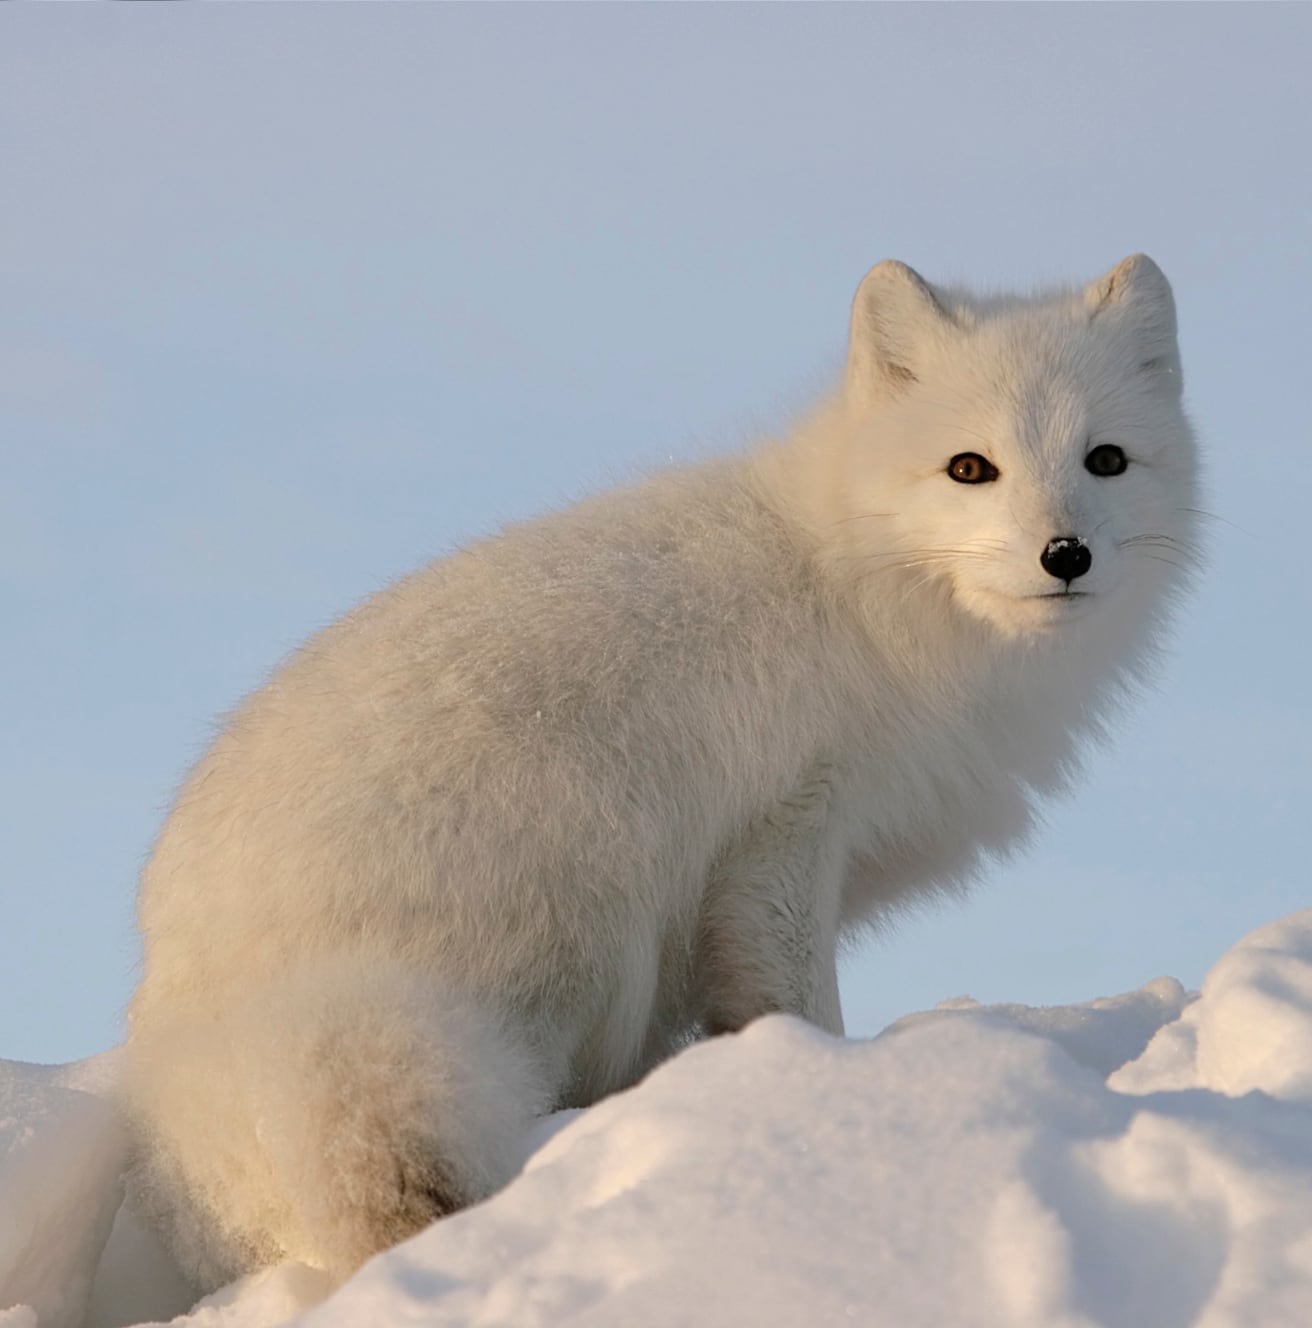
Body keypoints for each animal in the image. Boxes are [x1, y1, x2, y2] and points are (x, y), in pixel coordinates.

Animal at [123, 255, 1199, 1289]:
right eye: (970, 468)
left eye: (1106, 459)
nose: (1065, 553)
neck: (856, 591)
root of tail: (196, 1032)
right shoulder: (781, 838)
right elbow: (798, 1004)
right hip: (584, 909)